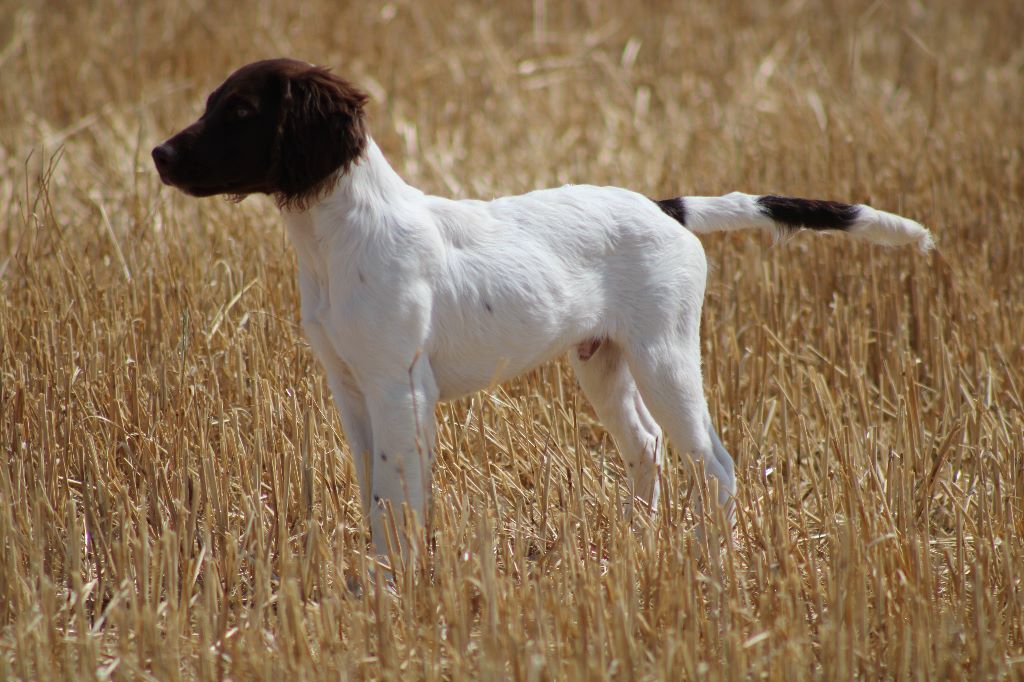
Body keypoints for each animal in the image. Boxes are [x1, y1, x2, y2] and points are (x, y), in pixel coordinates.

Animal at [153, 58, 937, 557]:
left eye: (241, 112)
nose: (159, 154)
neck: (337, 238)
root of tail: (664, 207)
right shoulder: (350, 388)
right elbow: (375, 490)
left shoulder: (400, 388)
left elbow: (398, 497)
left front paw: (396, 587)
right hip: (603, 364)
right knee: (647, 446)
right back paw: (636, 544)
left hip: (665, 356)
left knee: (714, 463)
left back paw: (711, 563)